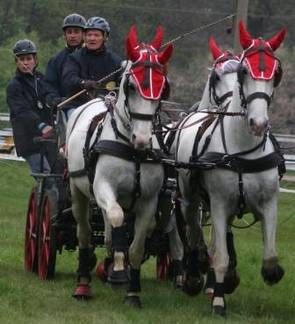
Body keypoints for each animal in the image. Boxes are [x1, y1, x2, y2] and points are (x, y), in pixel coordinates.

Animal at [176, 21, 286, 316]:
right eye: (244, 71)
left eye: (276, 72)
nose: (258, 123)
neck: (242, 151)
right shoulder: (218, 203)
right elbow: (221, 256)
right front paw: (218, 300)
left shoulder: (268, 203)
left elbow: (270, 258)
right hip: (189, 197)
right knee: (193, 231)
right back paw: (194, 272)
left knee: (218, 235)